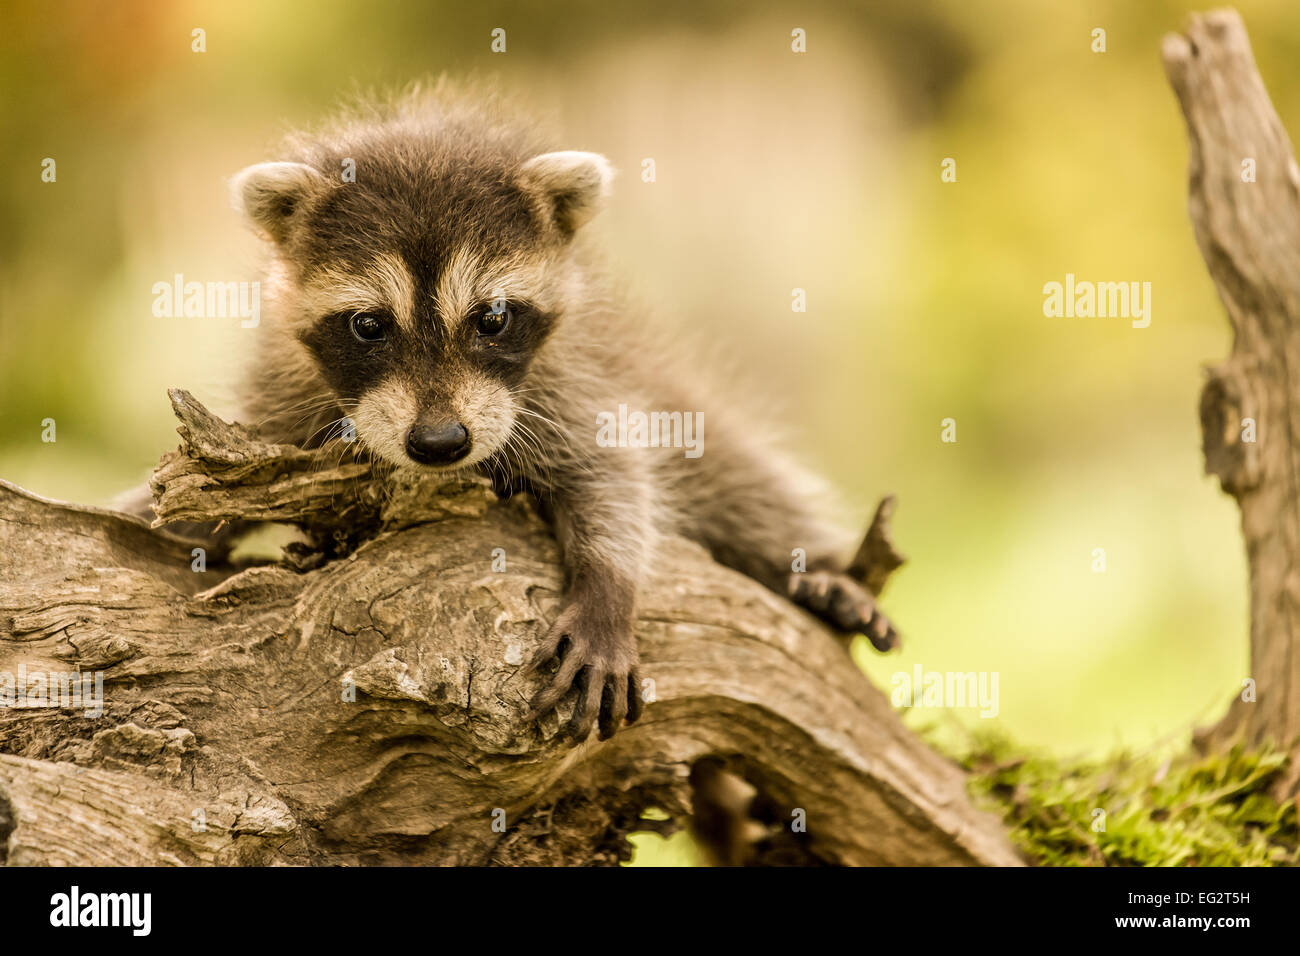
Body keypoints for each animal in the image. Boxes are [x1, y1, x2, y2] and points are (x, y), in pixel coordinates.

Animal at [231, 85, 894, 738]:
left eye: (493, 317)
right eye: (368, 325)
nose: (441, 442)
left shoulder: (576, 380)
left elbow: (613, 474)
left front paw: (607, 588)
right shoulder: (280, 390)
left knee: (743, 481)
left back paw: (816, 566)